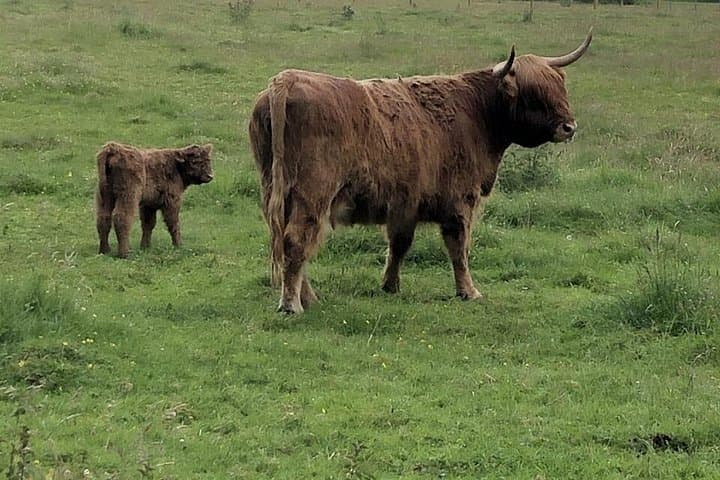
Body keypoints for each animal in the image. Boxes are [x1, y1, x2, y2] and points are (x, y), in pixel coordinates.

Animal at [249, 29, 592, 313]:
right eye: (534, 94)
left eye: (560, 86)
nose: (569, 127)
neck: (477, 113)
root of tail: (286, 81)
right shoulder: (460, 200)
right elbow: (458, 248)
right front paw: (469, 292)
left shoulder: (406, 204)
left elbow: (399, 245)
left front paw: (390, 286)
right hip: (314, 192)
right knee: (296, 239)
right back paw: (292, 304)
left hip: (276, 189)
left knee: (286, 238)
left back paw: (307, 297)